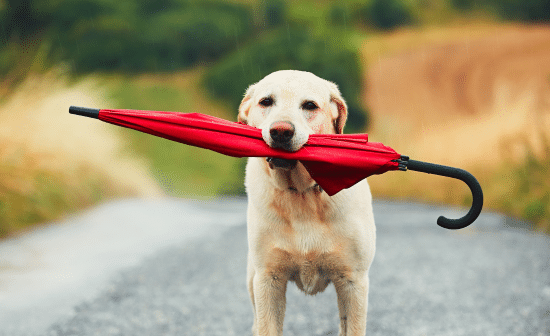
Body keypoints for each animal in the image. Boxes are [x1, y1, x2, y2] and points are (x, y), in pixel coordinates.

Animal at [242, 69, 380, 334]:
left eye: (309, 105)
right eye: (266, 102)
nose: (281, 131)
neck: (302, 193)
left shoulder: (354, 281)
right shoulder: (268, 279)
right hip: (252, 279)